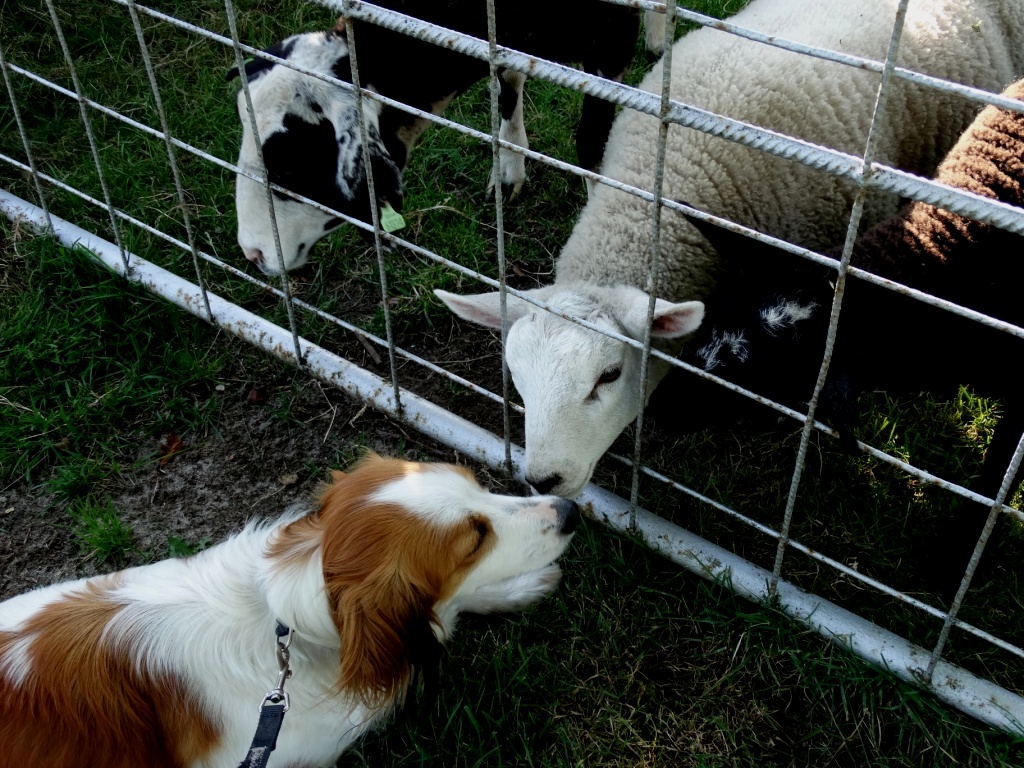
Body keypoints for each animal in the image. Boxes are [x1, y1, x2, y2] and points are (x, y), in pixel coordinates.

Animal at [232, 1, 663, 274]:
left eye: (289, 167)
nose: (251, 252)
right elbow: (508, 84)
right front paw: (507, 172)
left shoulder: (613, 38)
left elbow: (590, 144)